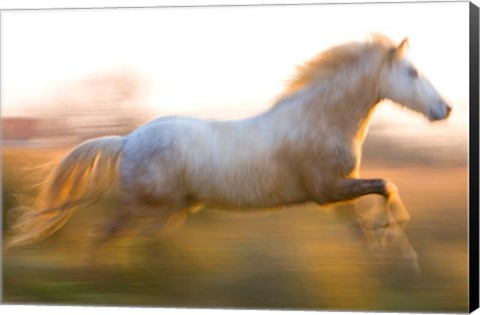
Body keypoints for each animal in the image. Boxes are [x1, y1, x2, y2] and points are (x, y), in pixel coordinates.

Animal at [8, 34, 450, 270]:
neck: (317, 121)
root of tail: (127, 140)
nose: (444, 109)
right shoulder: (328, 190)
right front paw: (401, 248)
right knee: (107, 232)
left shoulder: (337, 194)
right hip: (143, 205)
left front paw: (392, 255)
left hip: (171, 209)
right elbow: (387, 186)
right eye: (412, 72)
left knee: (140, 237)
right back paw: (99, 274)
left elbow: (366, 221)